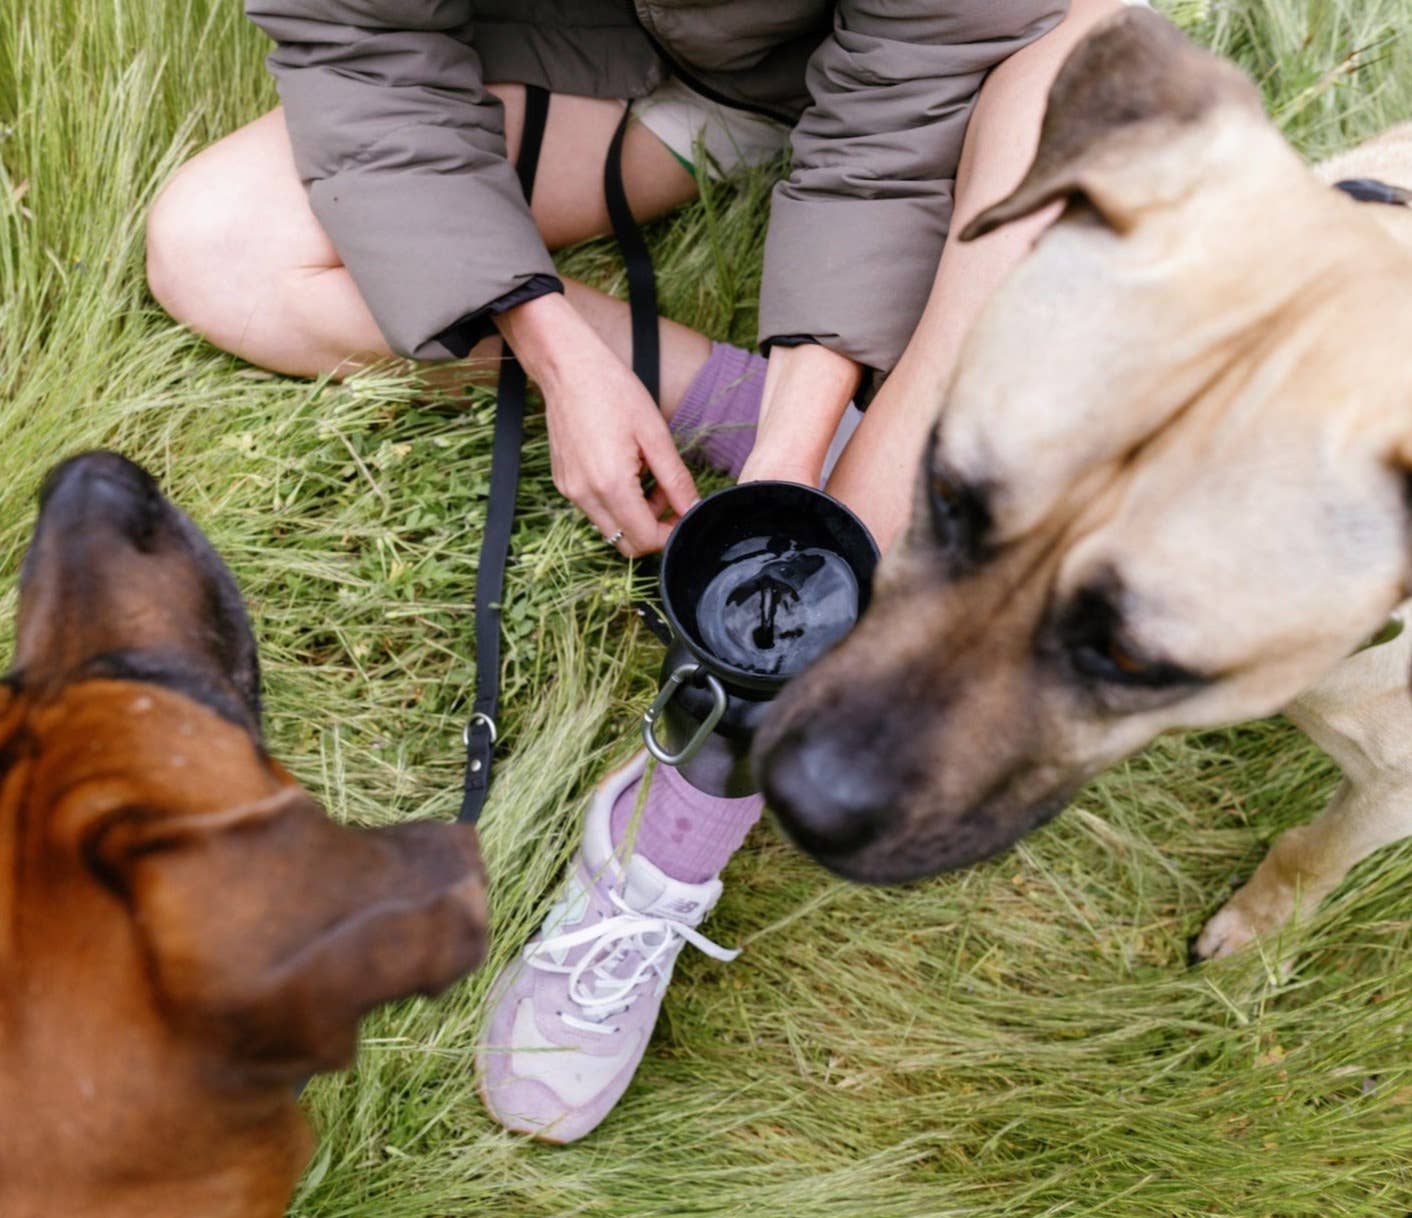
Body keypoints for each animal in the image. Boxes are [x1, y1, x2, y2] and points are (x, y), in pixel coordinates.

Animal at [756, 7, 1412, 959]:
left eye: (1135, 660)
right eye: (944, 490)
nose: (798, 800)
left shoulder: (1389, 796)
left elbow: (1313, 853)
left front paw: (1259, 925)